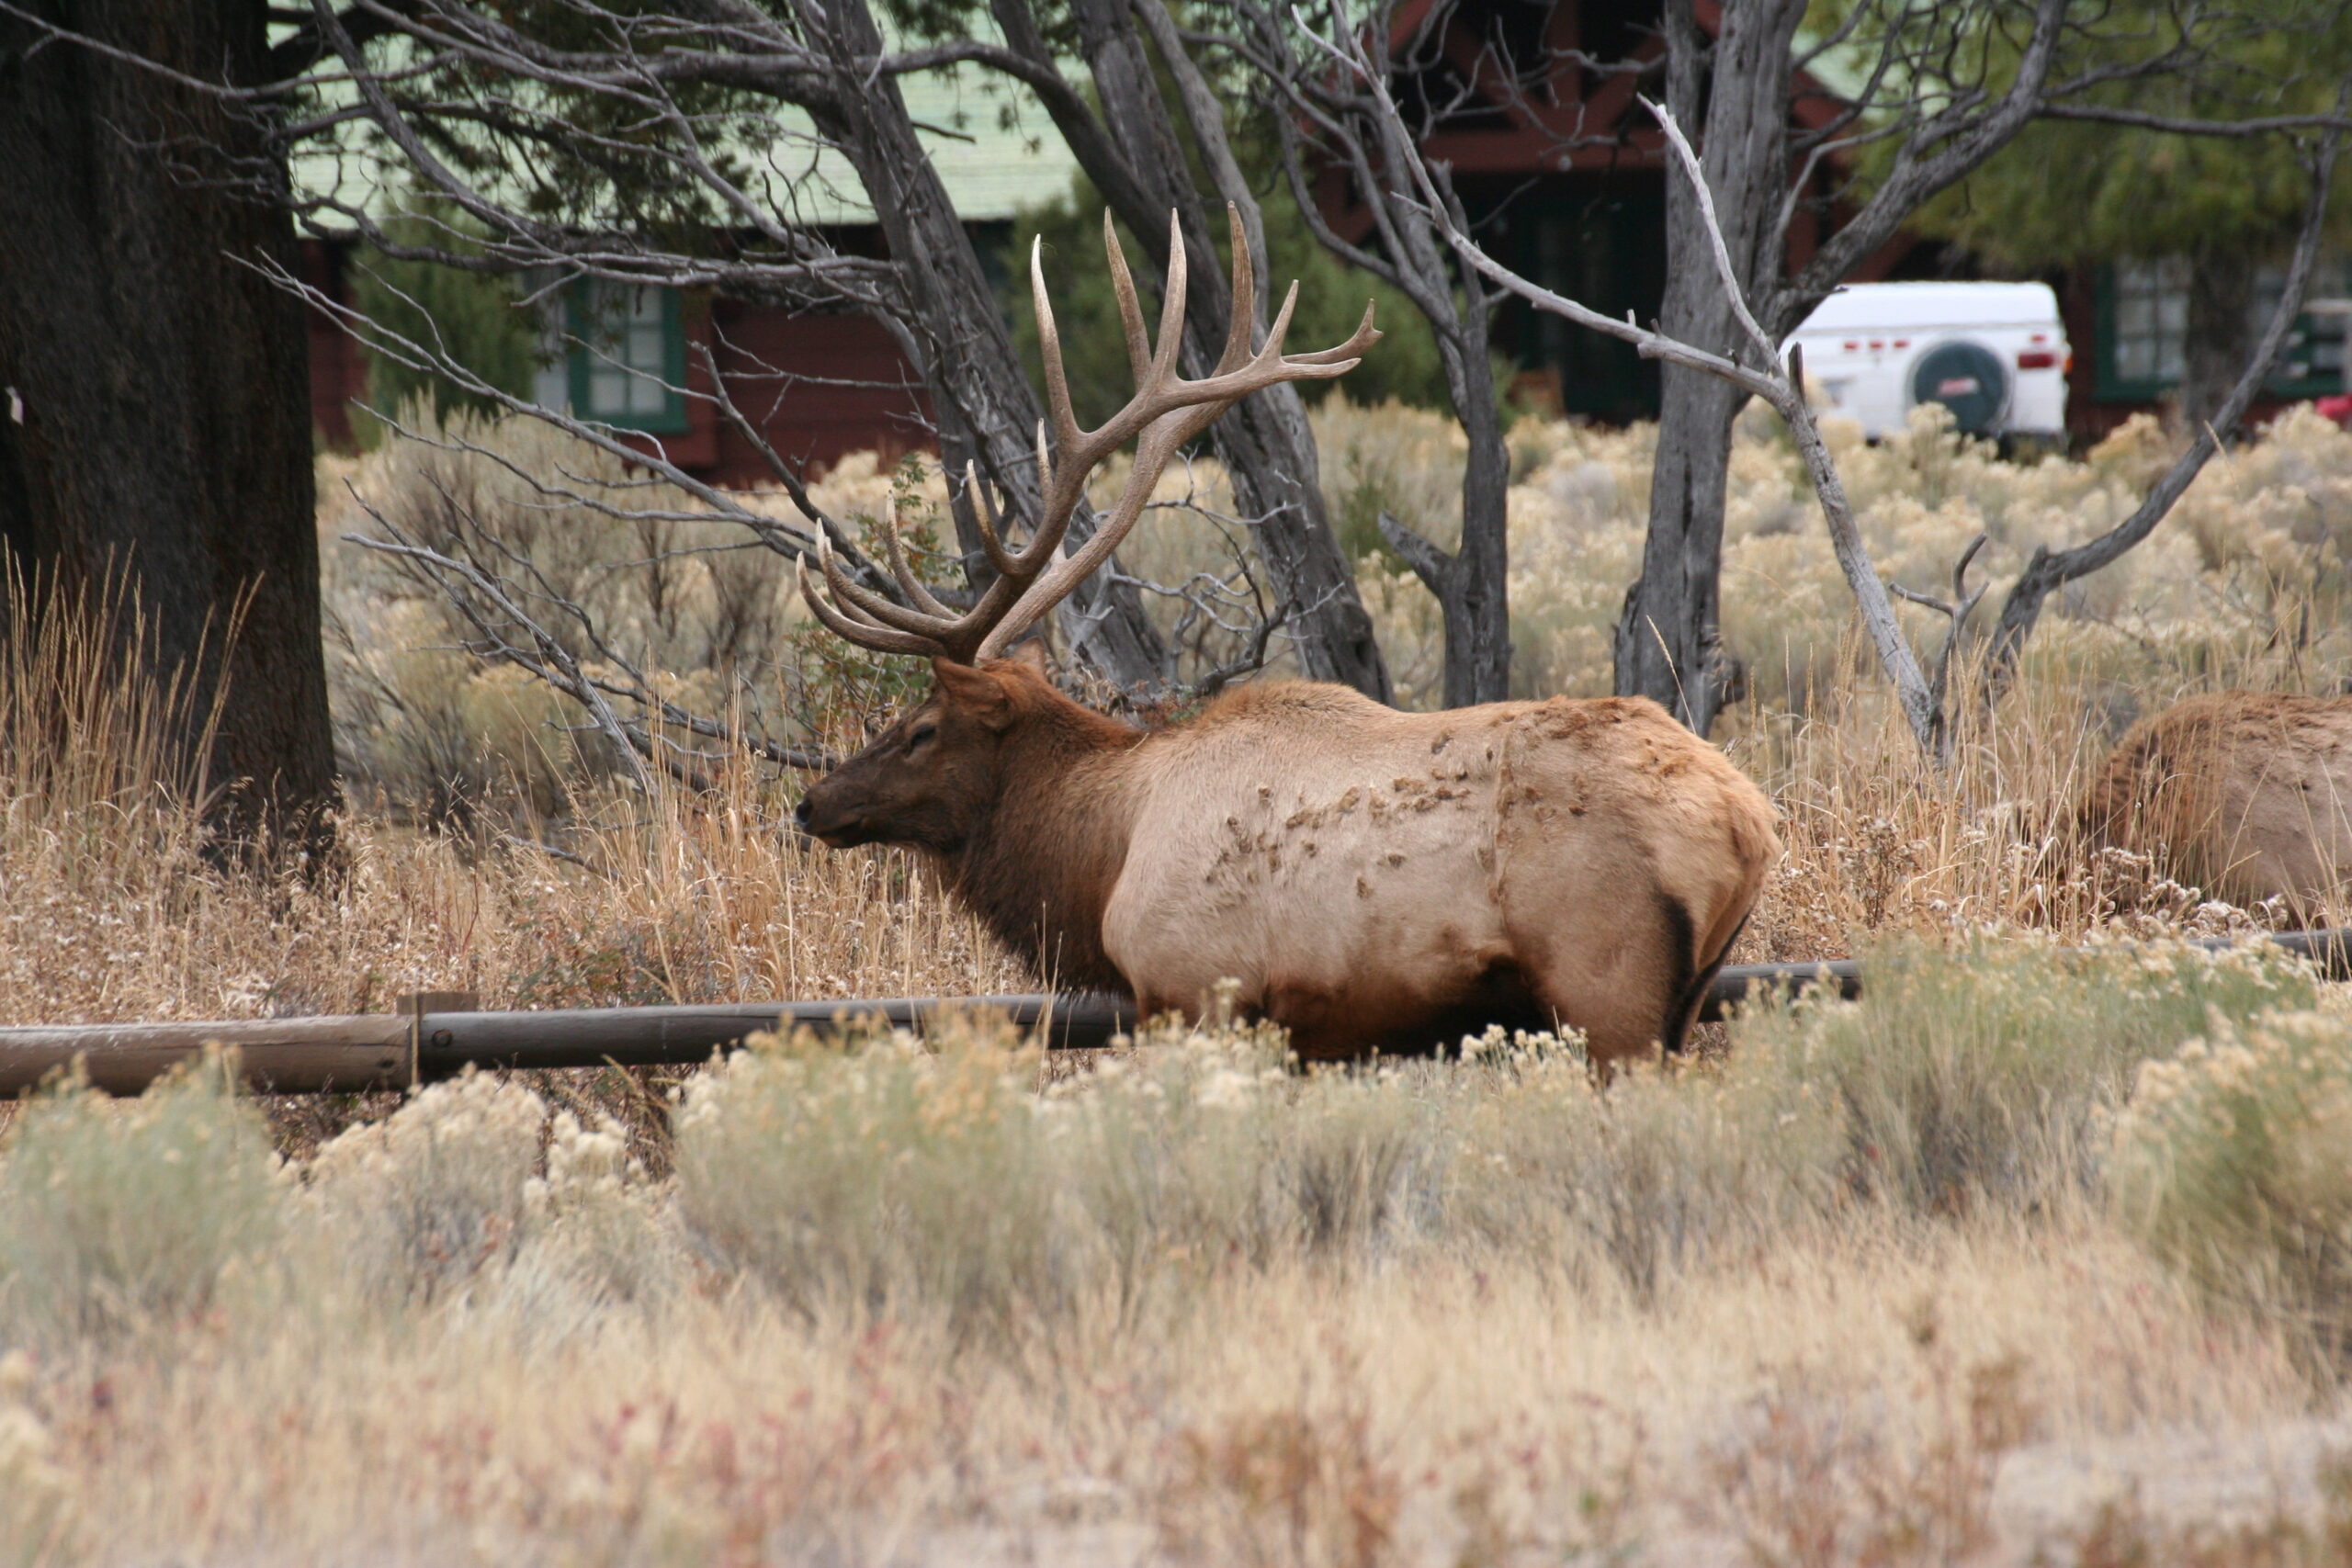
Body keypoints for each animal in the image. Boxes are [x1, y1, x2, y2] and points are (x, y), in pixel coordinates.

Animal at [786, 211, 1769, 1066]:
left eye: (920, 728)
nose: (813, 801)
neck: (1103, 858)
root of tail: (1748, 822)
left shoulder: (1194, 985)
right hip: (1687, 998)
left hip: (1608, 983)